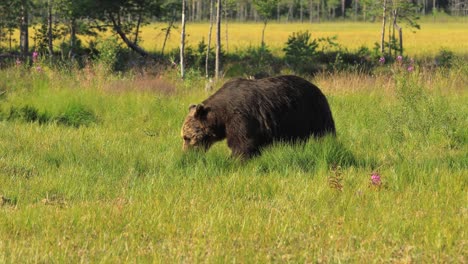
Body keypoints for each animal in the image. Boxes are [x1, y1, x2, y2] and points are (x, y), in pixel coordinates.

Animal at [180, 74, 336, 159]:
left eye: (187, 137)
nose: (186, 154)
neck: (221, 116)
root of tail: (317, 88)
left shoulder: (241, 117)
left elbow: (242, 144)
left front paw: (233, 160)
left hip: (312, 113)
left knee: (324, 133)